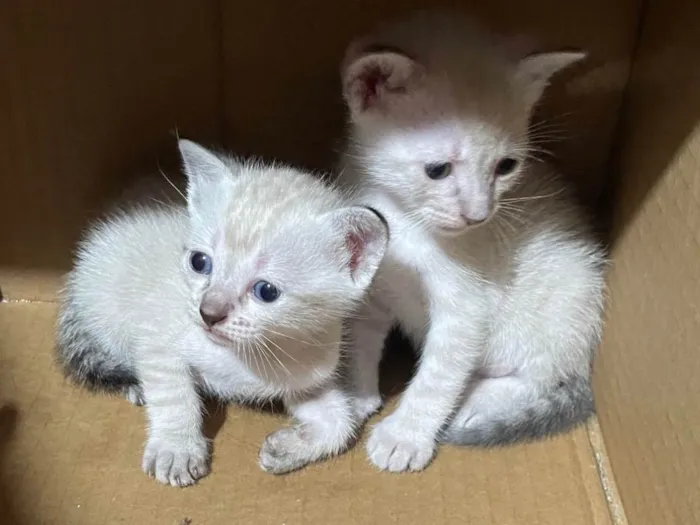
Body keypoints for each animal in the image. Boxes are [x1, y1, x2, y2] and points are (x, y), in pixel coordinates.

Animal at [57, 138, 392, 484]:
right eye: (199, 262)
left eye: (266, 291)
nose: (209, 312)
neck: (242, 356)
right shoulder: (157, 338)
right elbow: (173, 394)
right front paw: (176, 448)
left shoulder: (308, 376)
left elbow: (342, 421)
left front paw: (287, 448)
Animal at [340, 11, 608, 470]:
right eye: (437, 170)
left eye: (507, 166)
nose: (478, 215)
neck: (404, 219)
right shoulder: (371, 284)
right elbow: (361, 338)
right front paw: (357, 396)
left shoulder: (466, 308)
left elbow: (438, 376)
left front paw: (405, 434)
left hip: (564, 307)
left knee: (543, 377)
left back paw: (475, 399)